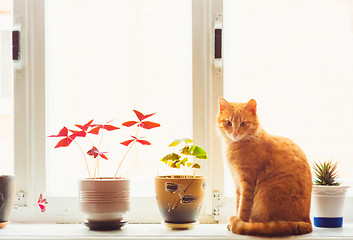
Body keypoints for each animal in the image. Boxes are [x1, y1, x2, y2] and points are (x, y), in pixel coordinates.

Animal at [216, 97, 312, 236]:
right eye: (228, 122)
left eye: (243, 124)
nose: (234, 133)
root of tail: (307, 222)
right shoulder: (237, 183)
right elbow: (237, 203)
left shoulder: (247, 183)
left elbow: (243, 207)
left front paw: (239, 222)